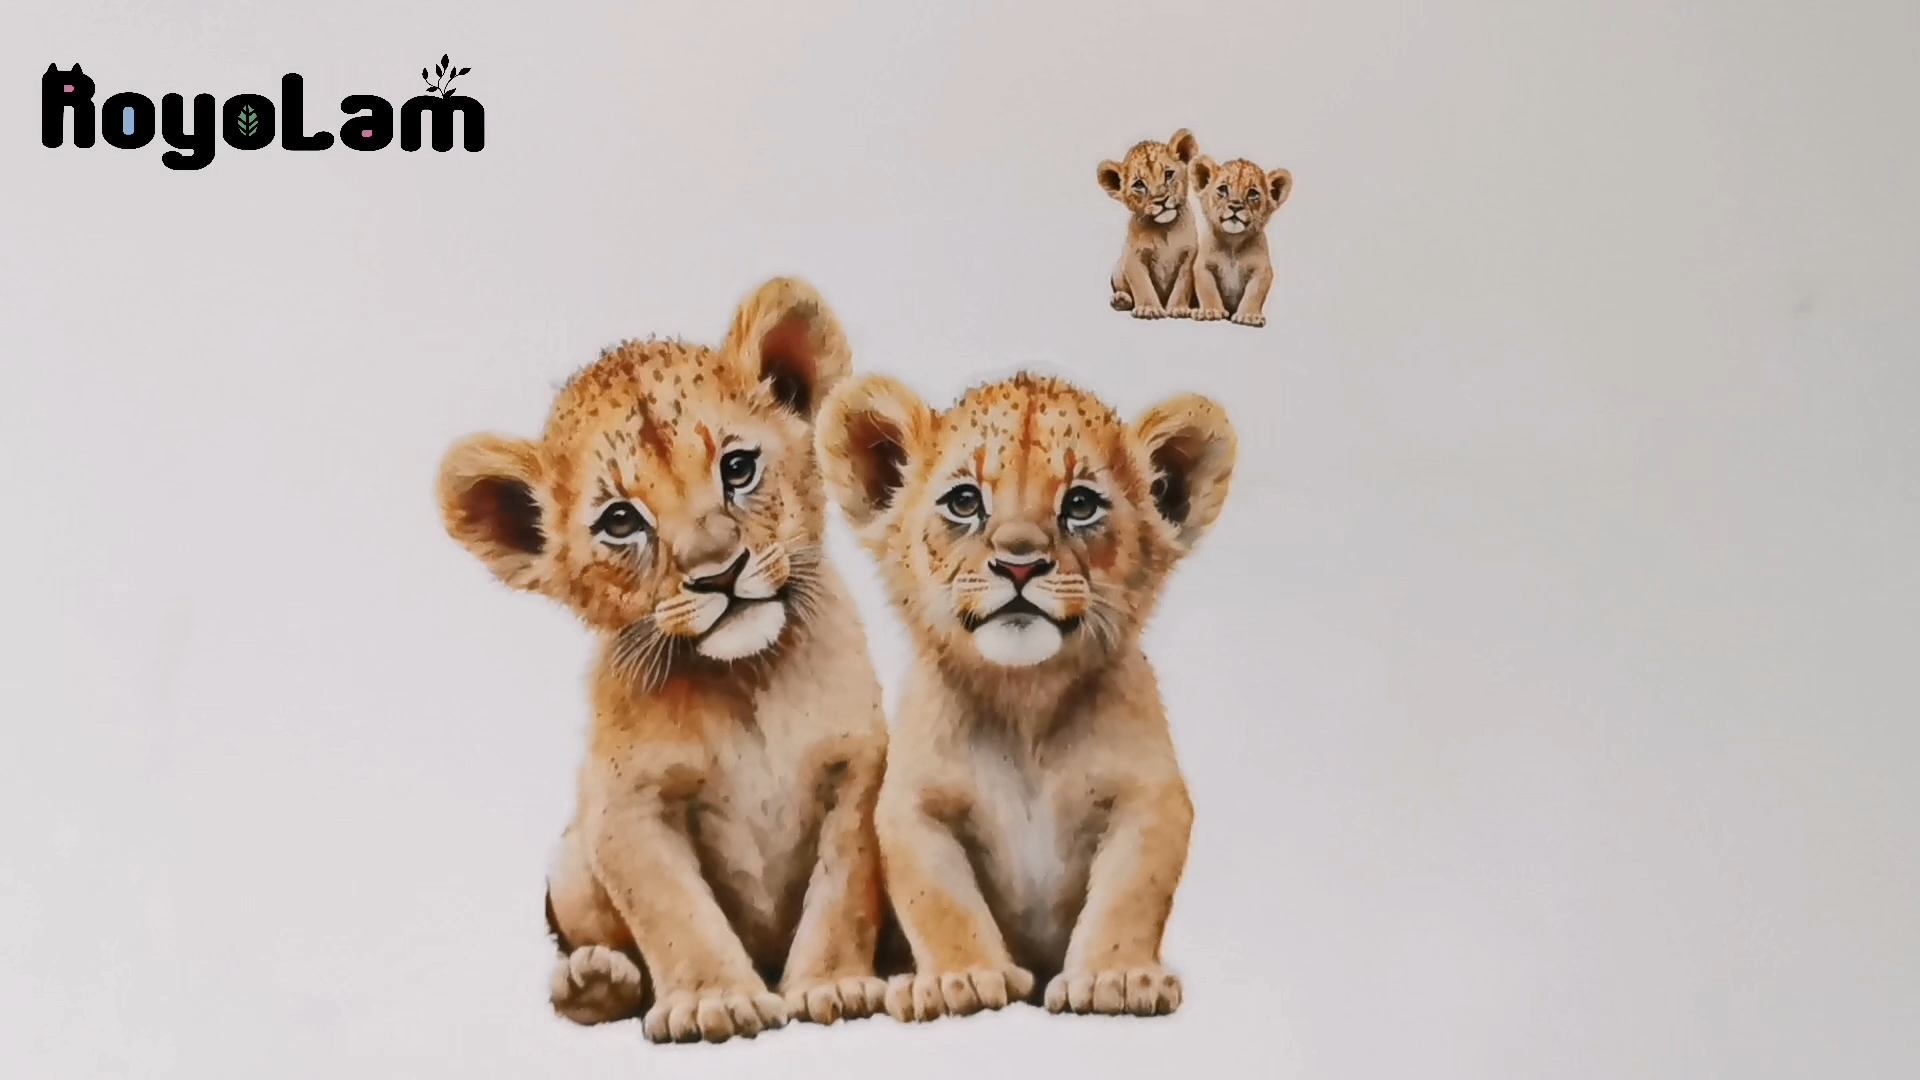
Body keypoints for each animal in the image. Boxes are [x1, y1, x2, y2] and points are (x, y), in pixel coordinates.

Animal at [436, 277, 892, 1044]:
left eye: (738, 468)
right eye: (621, 520)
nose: (718, 573)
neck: (746, 682)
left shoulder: (858, 767)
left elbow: (843, 888)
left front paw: (834, 985)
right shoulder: (627, 808)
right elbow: (674, 910)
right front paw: (714, 1001)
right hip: (570, 863)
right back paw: (594, 982)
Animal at [813, 370, 1237, 1022]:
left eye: (1080, 505)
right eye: (964, 501)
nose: (1019, 564)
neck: (1025, 703)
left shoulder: (1150, 796)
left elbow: (1130, 892)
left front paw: (1115, 978)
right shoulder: (914, 804)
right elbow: (938, 897)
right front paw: (959, 979)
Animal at [1097, 128, 1203, 319]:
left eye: (1168, 175)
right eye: (1139, 184)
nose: (1161, 200)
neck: (1165, 229)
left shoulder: (1190, 256)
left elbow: (1182, 284)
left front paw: (1179, 309)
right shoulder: (1133, 257)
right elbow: (1142, 284)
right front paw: (1148, 309)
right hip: (1118, 270)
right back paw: (1120, 300)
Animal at [1189, 156, 1293, 327]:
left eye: (1253, 193)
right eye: (1223, 189)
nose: (1236, 206)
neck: (1233, 242)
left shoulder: (1262, 269)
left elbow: (1254, 293)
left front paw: (1249, 316)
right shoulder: (1203, 265)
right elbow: (1207, 288)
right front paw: (1211, 311)